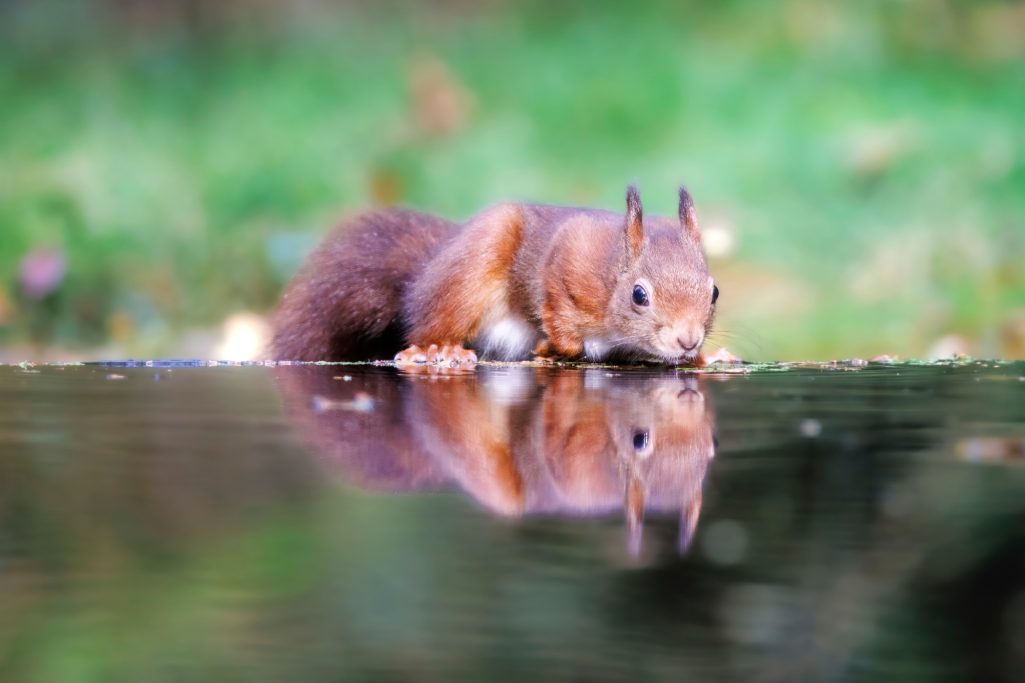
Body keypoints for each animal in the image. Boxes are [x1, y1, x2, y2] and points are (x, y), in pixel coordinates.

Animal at [272, 183, 721, 365]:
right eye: (639, 295)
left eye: (714, 292)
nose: (687, 339)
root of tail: (425, 275)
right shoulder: (569, 261)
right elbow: (554, 306)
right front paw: (553, 347)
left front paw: (706, 356)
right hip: (466, 277)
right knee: (428, 324)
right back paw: (438, 349)